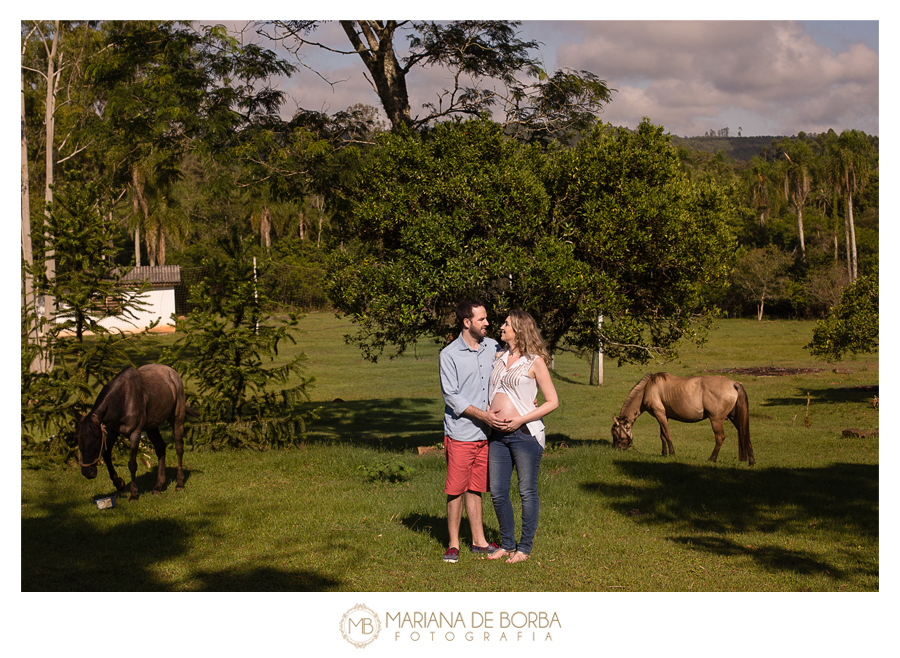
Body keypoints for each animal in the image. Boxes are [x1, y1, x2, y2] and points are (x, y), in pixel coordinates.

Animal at [77, 364, 197, 498]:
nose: (87, 472)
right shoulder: (113, 431)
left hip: (177, 420)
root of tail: (172, 372)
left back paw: (179, 484)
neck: (124, 399)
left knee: (179, 449)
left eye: (96, 438)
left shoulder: (135, 433)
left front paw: (133, 493)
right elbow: (106, 455)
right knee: (160, 447)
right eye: (78, 439)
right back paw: (158, 486)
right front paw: (119, 483)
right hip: (152, 427)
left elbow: (132, 464)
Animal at [612, 372, 752, 464]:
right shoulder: (663, 416)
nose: (616, 449)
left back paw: (712, 459)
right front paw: (663, 453)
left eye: (615, 433)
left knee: (720, 437)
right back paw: (751, 460)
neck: (648, 389)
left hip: (716, 420)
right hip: (734, 418)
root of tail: (734, 384)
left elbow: (667, 433)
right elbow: (662, 435)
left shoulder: (659, 413)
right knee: (744, 434)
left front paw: (672, 452)